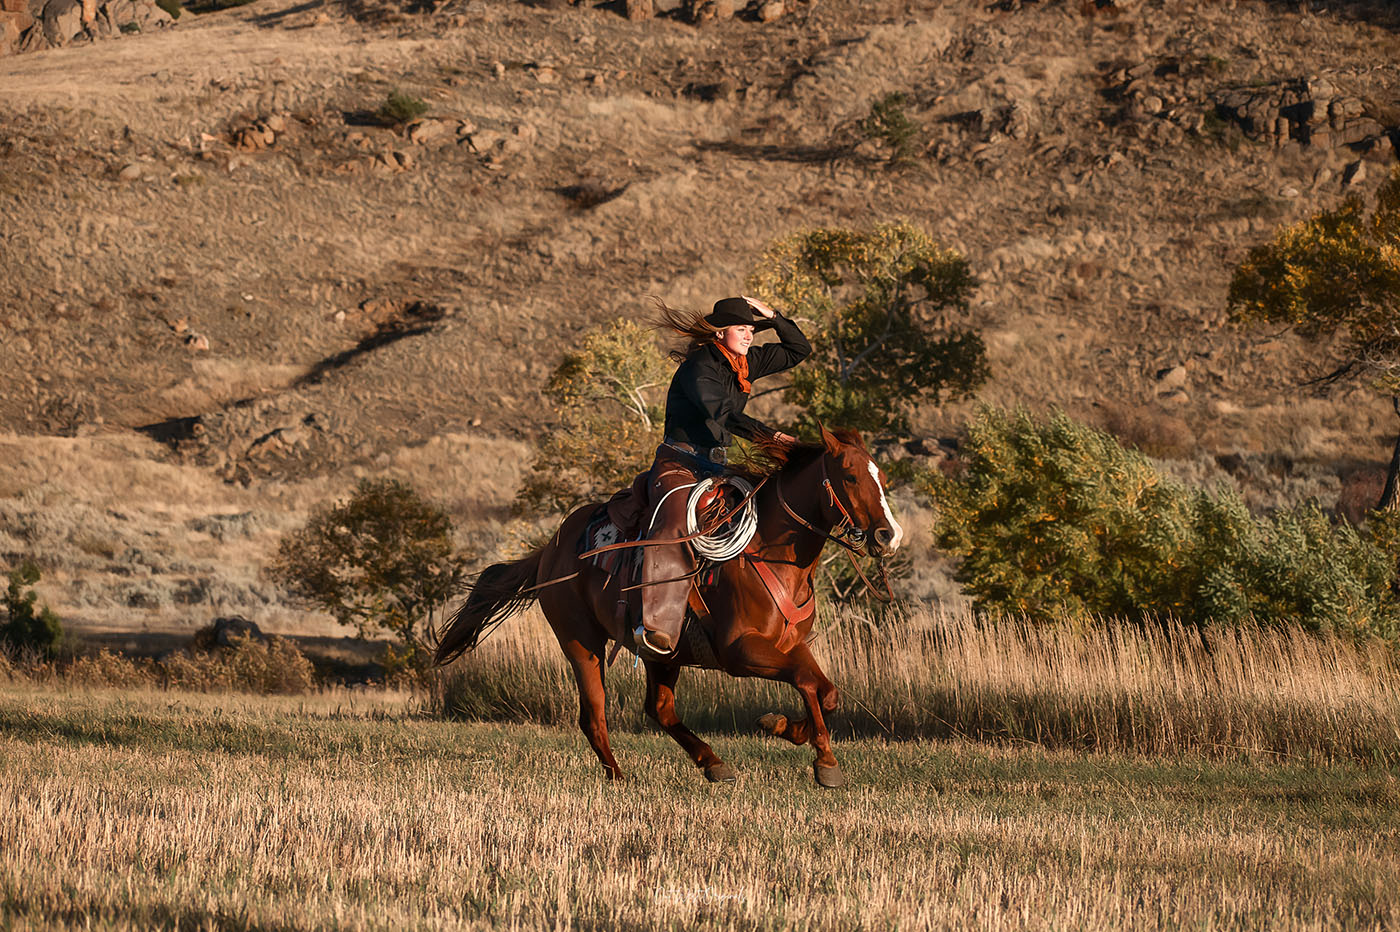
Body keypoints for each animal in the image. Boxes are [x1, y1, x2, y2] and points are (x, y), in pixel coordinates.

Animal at [431, 426, 904, 787]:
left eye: (882, 477)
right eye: (849, 476)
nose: (888, 535)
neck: (769, 552)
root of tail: (550, 549)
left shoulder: (790, 646)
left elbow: (826, 691)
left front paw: (786, 728)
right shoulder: (742, 651)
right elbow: (808, 683)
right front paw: (824, 761)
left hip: (664, 652)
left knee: (659, 709)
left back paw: (713, 763)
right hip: (581, 643)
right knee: (594, 715)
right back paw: (620, 777)